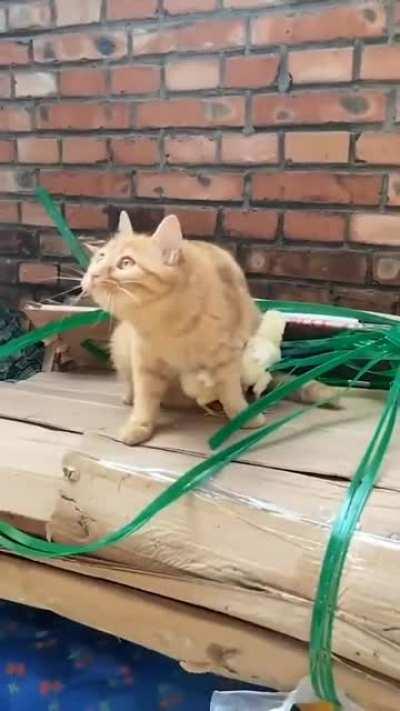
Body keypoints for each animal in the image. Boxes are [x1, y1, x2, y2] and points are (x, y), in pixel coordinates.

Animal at [83, 211, 336, 444]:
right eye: (100, 257)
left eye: (126, 263)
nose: (93, 274)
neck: (168, 325)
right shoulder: (145, 362)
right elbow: (145, 399)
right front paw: (139, 425)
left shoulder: (228, 357)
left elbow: (231, 392)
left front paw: (242, 416)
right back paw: (129, 395)